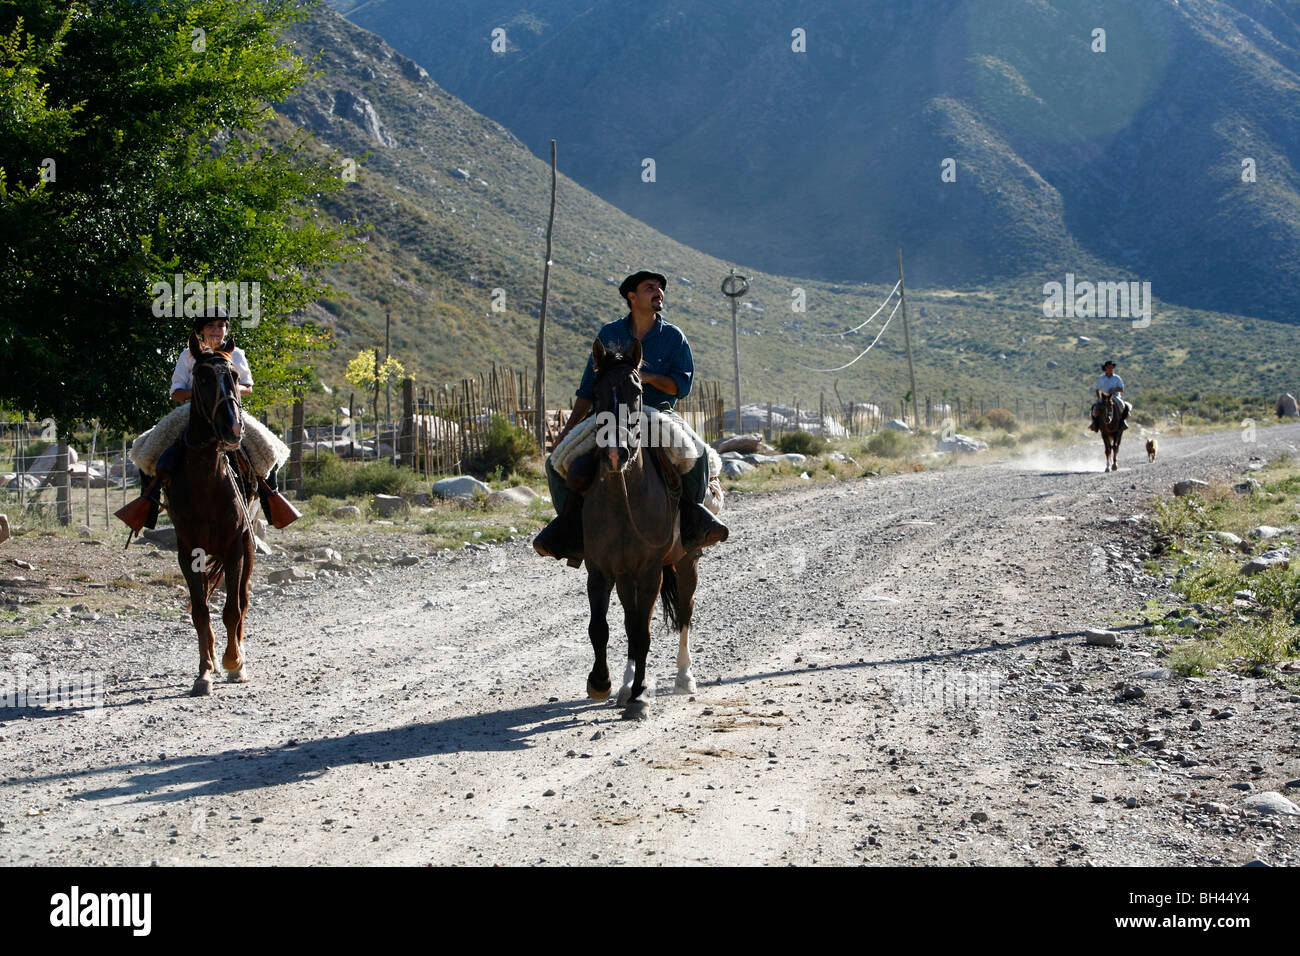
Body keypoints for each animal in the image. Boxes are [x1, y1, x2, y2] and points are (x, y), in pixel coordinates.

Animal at [582, 340, 702, 723]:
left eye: (636, 392)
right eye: (597, 392)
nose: (616, 453)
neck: (624, 499)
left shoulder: (650, 570)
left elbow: (644, 633)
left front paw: (640, 698)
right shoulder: (600, 570)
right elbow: (602, 627)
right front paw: (601, 683)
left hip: (685, 562)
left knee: (684, 611)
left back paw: (683, 677)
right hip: (627, 576)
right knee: (630, 619)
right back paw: (625, 685)